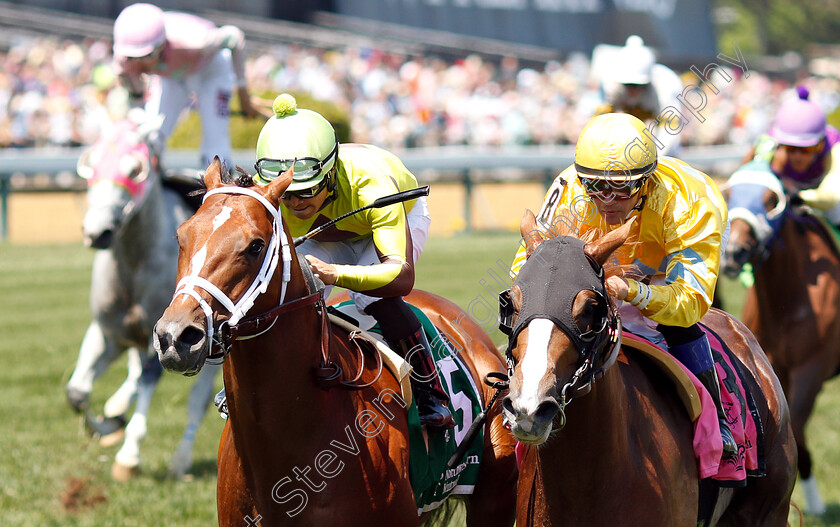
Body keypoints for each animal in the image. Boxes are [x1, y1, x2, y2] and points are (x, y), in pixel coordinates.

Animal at [64, 111, 220, 482]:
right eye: (90, 164)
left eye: (135, 169)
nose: (97, 232)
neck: (134, 263)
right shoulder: (108, 331)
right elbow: (77, 392)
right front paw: (108, 425)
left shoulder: (171, 337)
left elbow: (150, 378)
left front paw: (128, 456)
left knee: (198, 401)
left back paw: (180, 461)